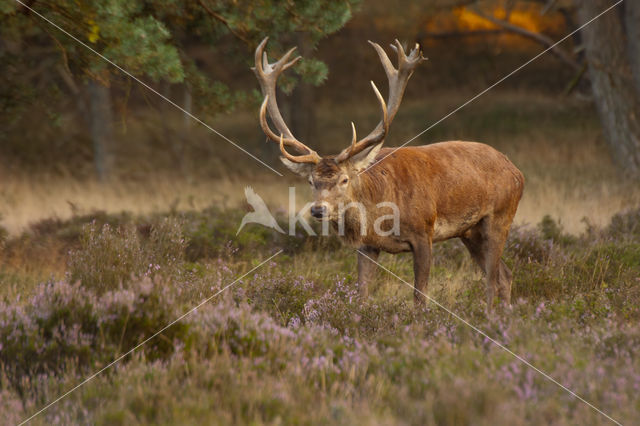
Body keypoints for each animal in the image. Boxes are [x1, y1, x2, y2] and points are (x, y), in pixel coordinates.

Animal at [252, 37, 524, 310]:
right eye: (310, 181)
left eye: (344, 179)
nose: (319, 210)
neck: (379, 214)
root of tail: (517, 171)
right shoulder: (367, 246)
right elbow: (361, 294)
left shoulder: (424, 233)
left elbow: (420, 296)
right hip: (470, 232)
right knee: (505, 275)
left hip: (500, 217)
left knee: (492, 278)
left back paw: (490, 316)